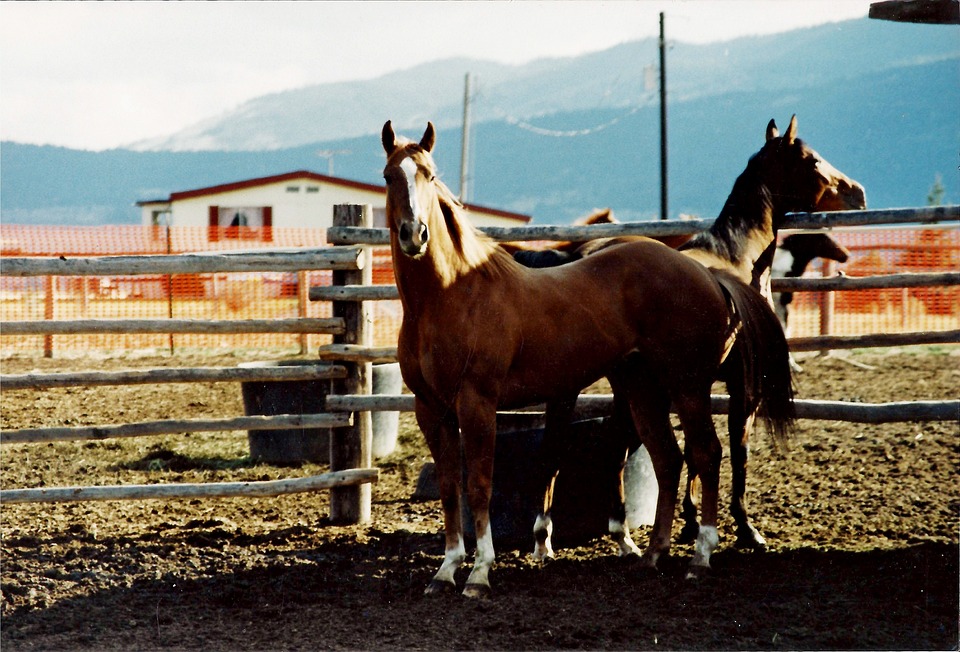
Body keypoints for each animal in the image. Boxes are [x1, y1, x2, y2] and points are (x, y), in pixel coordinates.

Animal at [382, 120, 793, 597]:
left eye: (429, 175)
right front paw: (446, 570)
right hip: (642, 390)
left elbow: (479, 484)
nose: (414, 234)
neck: (453, 295)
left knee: (706, 454)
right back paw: (652, 556)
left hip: (688, 387)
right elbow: (450, 488)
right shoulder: (431, 409)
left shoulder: (478, 402)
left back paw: (700, 557)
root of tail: (709, 273)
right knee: (669, 459)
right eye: (390, 176)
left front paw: (480, 573)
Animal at [529, 116, 866, 562]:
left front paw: (690, 522)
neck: (735, 258)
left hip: (608, 387)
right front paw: (743, 529)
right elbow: (734, 450)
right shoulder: (742, 386)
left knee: (575, 449)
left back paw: (579, 538)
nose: (857, 192)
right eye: (812, 160)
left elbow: (690, 451)